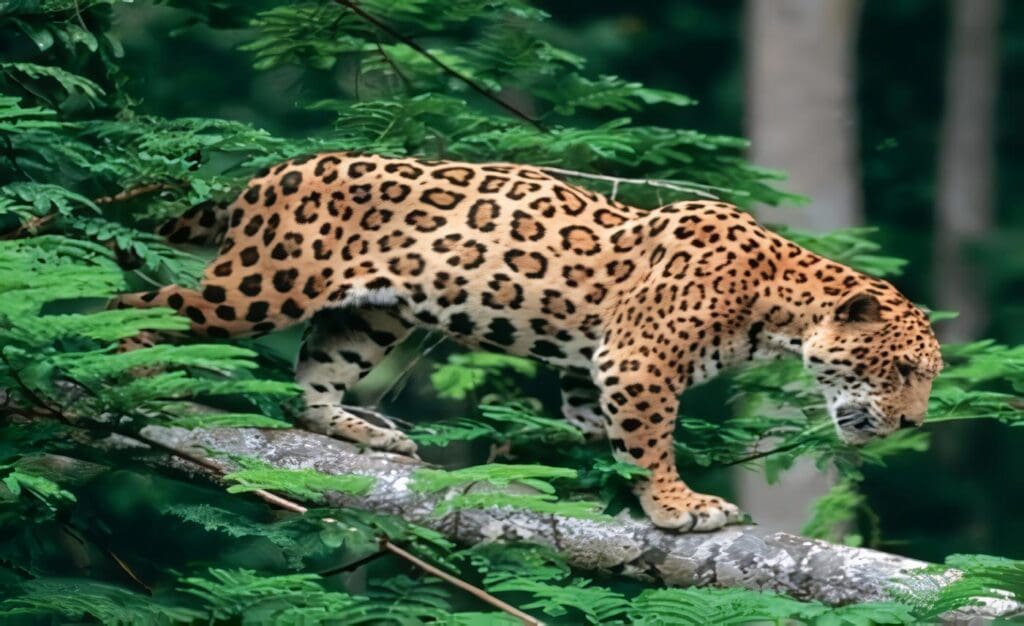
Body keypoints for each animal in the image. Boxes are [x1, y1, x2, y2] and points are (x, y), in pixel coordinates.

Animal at [113, 152, 944, 532]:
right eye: (903, 369)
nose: (911, 424)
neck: (777, 303)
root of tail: (273, 169)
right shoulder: (639, 361)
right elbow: (653, 443)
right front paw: (679, 506)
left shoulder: (594, 370)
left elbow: (602, 433)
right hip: (262, 284)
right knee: (141, 303)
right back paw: (123, 367)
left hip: (372, 315)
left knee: (312, 382)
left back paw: (364, 432)